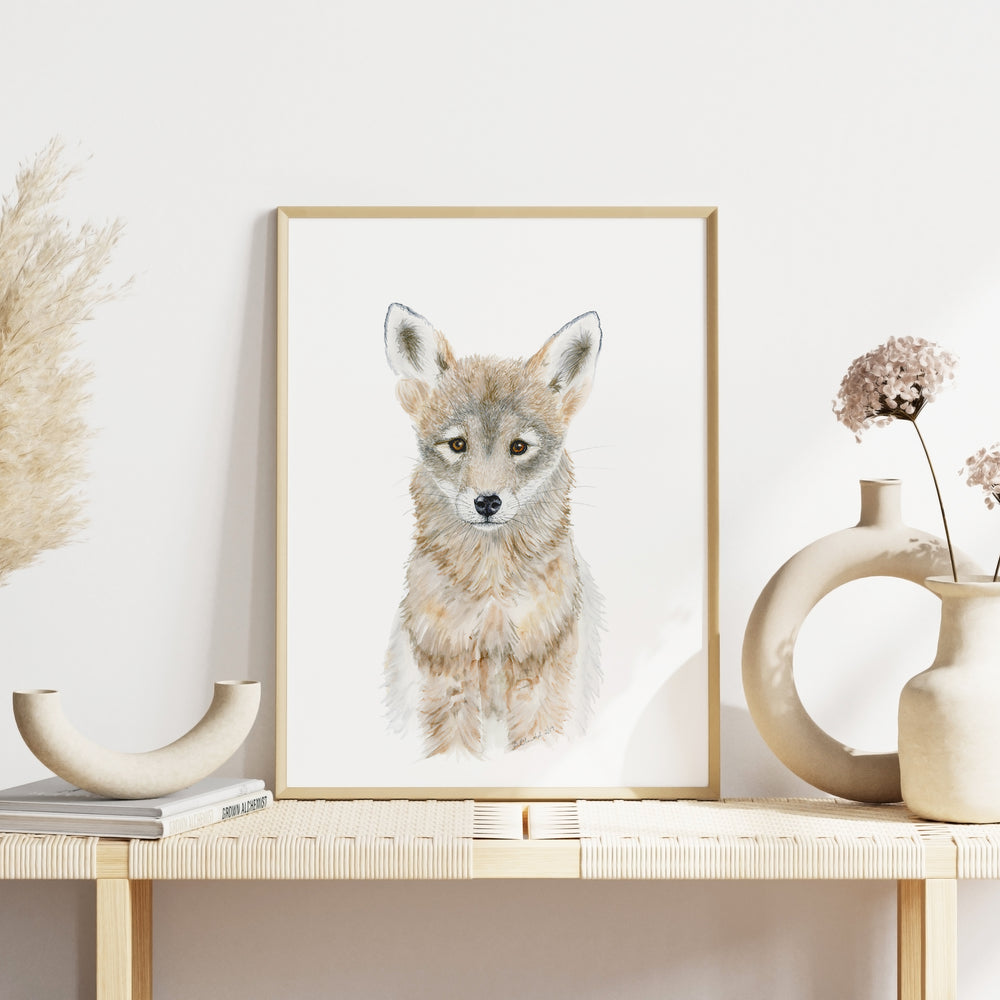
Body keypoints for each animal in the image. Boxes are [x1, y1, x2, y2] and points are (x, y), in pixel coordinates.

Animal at [382, 303, 603, 759]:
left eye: (519, 447)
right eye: (457, 445)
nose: (487, 503)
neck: (493, 591)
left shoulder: (542, 674)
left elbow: (540, 739)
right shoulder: (446, 674)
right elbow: (453, 749)